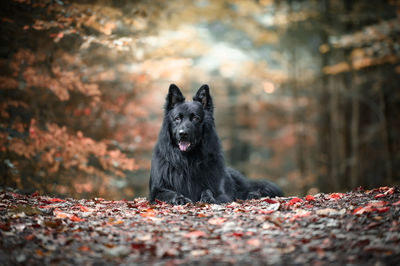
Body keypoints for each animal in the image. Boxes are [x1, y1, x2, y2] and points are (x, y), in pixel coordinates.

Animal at [148, 84, 282, 205]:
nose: (183, 134)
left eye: (195, 118)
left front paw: (208, 197)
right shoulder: (155, 191)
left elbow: (208, 190)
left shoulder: (220, 192)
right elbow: (169, 193)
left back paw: (253, 194)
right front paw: (180, 198)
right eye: (177, 118)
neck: (188, 161)